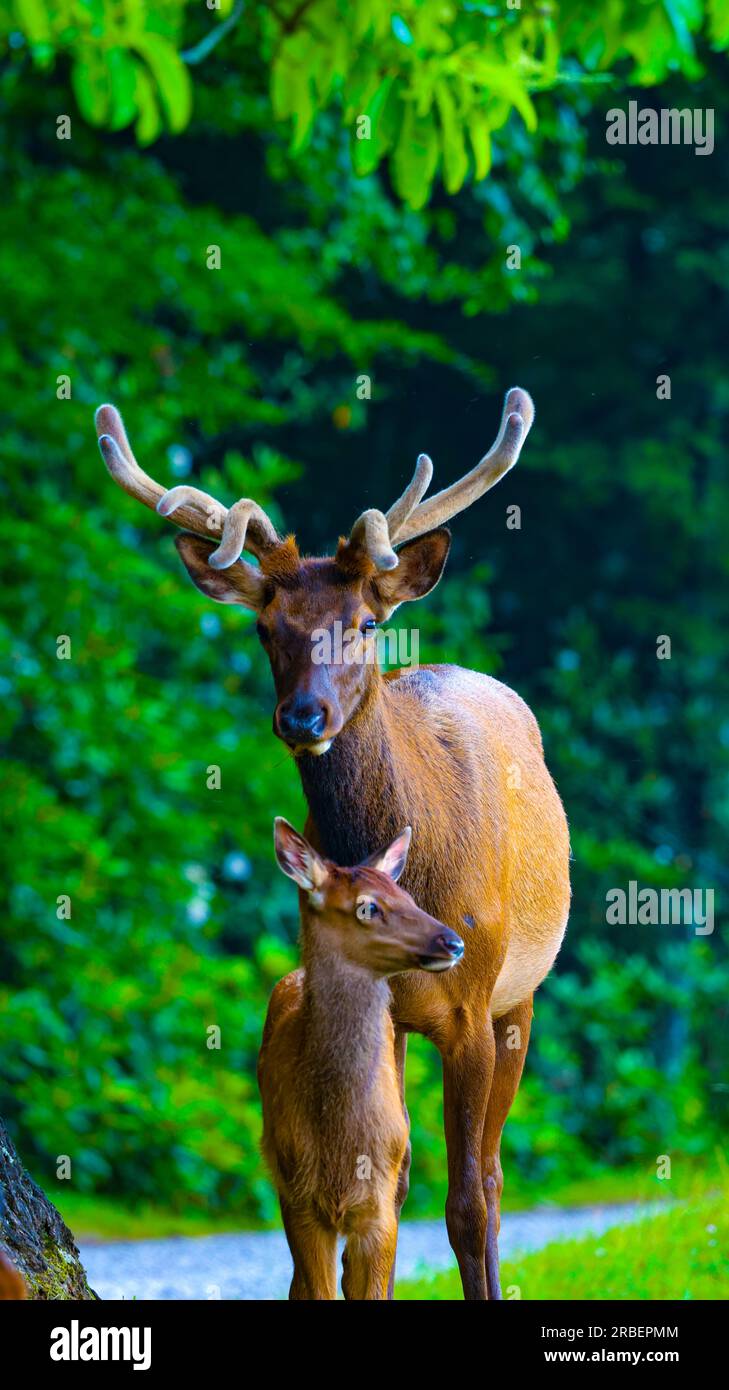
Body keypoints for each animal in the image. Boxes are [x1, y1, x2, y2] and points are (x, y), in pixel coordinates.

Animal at [257, 817, 461, 1295]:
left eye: (409, 898)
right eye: (368, 907)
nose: (453, 942)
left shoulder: (379, 1208)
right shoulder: (299, 1200)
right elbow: (316, 1289)